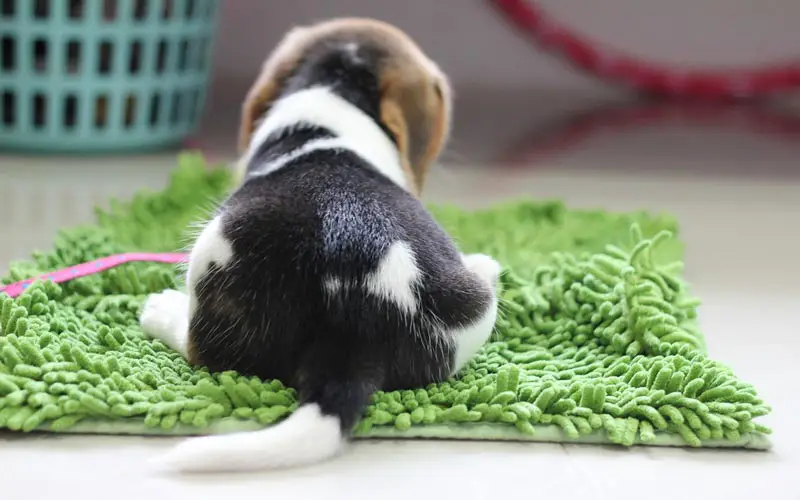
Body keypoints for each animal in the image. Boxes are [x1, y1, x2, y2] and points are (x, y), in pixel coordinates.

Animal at [138, 17, 500, 472]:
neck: (335, 92)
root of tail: (353, 330)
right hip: (474, 306)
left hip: (211, 254)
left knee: (198, 347)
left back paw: (160, 311)